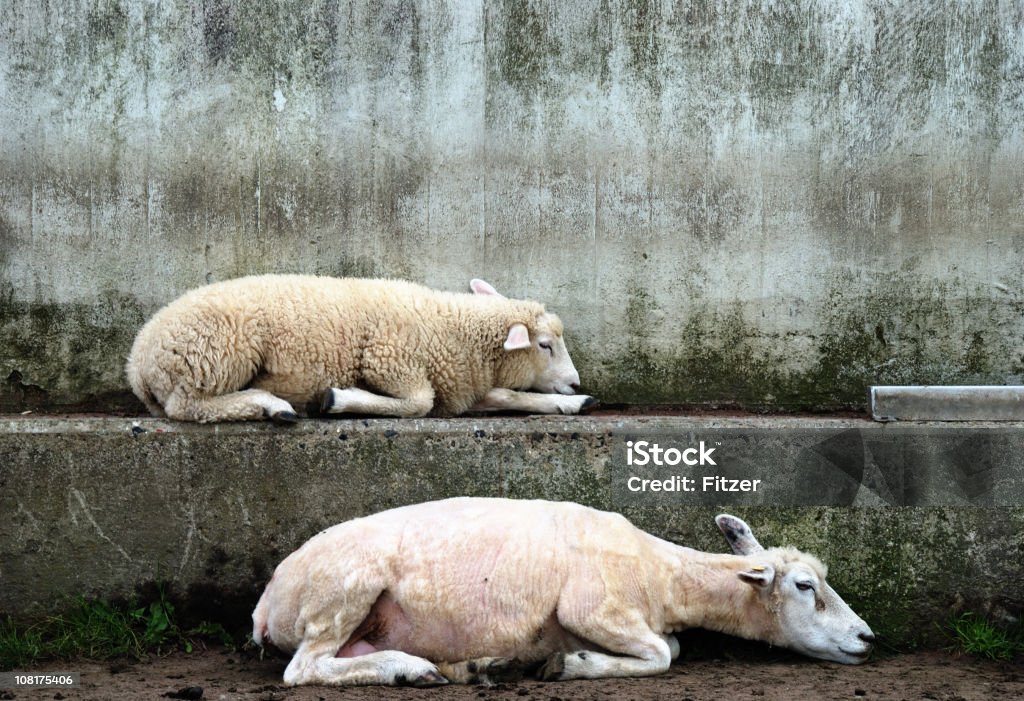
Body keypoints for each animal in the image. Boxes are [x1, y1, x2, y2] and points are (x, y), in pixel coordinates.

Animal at [124, 276, 598, 423]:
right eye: (545, 345)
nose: (576, 382)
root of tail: (137, 363)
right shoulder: (390, 358)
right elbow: (418, 403)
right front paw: (336, 399)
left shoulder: (462, 388)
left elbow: (506, 396)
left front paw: (573, 405)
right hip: (217, 352)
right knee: (189, 407)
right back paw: (272, 406)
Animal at [251, 497, 876, 683]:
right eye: (805, 586)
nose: (868, 638)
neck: (664, 577)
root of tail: (265, 603)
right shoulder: (595, 608)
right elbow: (662, 656)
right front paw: (569, 665)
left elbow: (671, 648)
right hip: (342, 591)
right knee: (304, 670)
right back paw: (409, 669)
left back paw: (475, 667)